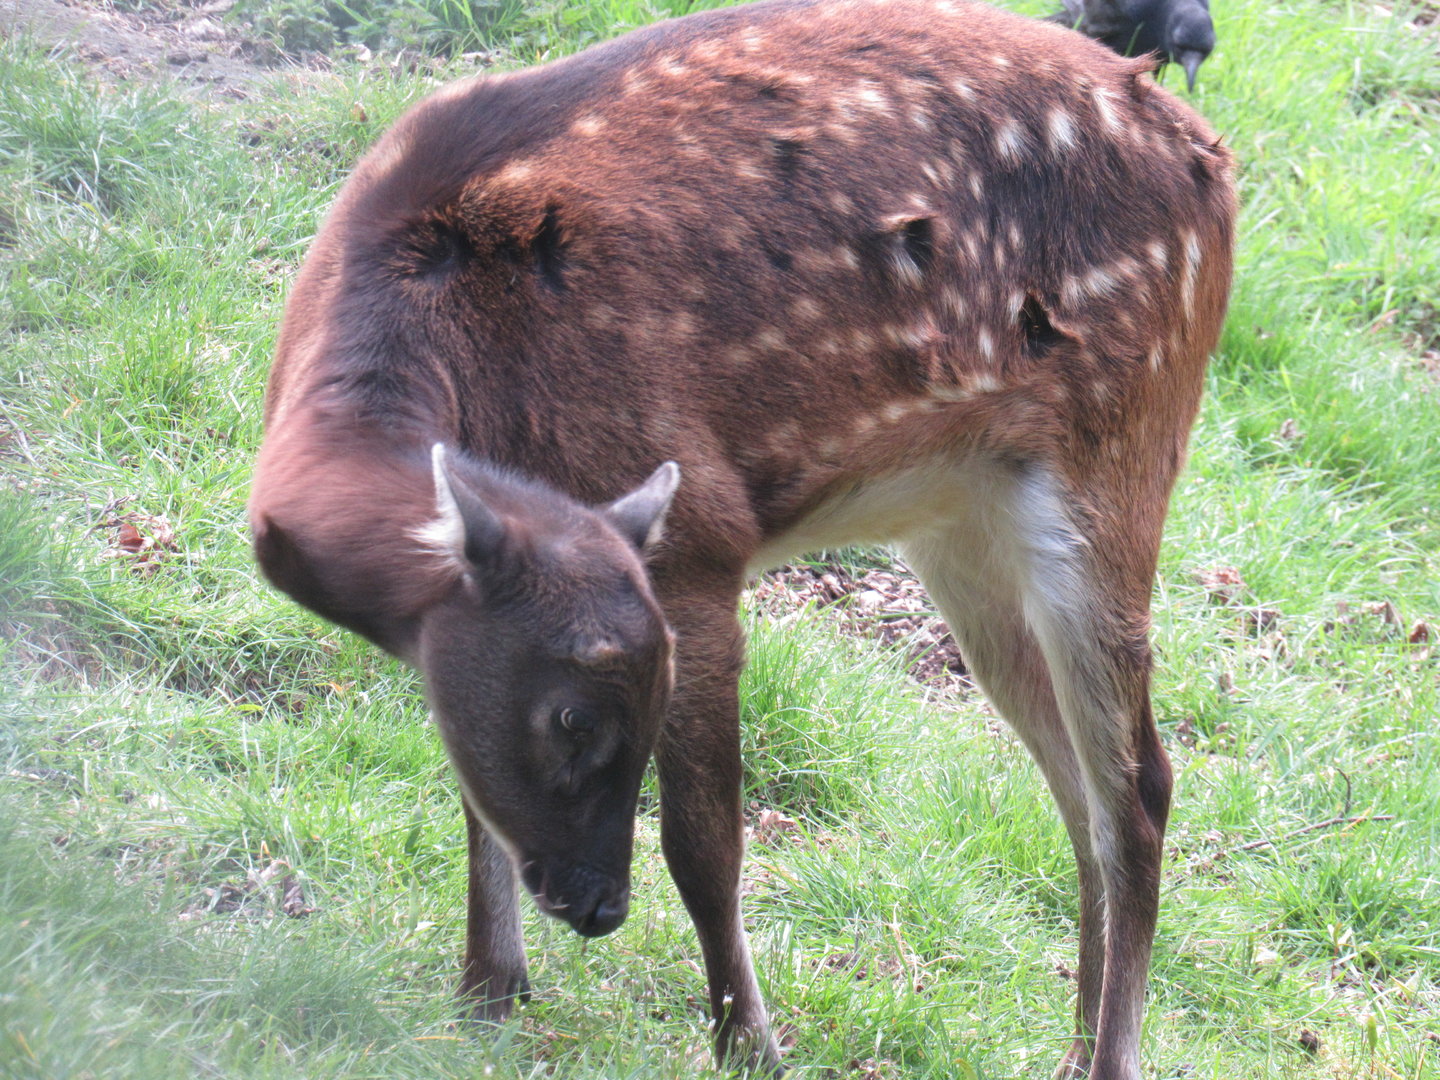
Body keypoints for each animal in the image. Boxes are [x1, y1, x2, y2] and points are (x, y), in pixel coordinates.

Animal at [248, 0, 1236, 1076]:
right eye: (571, 717)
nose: (599, 906)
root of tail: (1215, 162)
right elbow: (476, 794)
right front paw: (486, 994)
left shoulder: (698, 545)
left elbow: (703, 845)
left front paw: (749, 1042)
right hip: (962, 517)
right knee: (1074, 788)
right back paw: (1070, 1047)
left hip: (1120, 453)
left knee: (1139, 790)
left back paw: (1109, 1052)